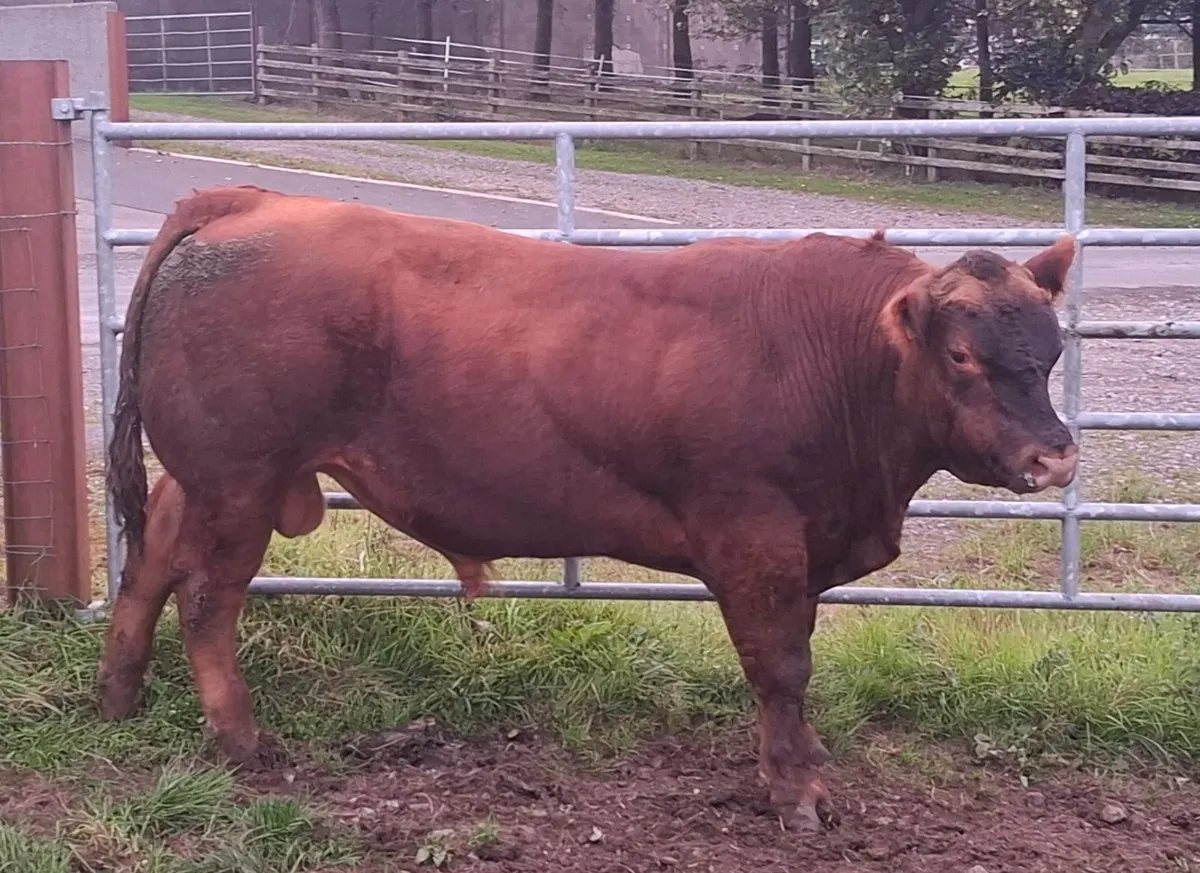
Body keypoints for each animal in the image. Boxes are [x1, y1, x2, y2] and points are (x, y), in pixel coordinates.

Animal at [97, 185, 1078, 834]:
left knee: (148, 567)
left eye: (1054, 347)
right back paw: (241, 738)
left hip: (203, 478)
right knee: (207, 600)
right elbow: (781, 667)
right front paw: (796, 789)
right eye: (961, 354)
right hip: (240, 479)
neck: (834, 360)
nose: (1055, 454)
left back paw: (119, 695)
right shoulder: (755, 537)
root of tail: (251, 201)